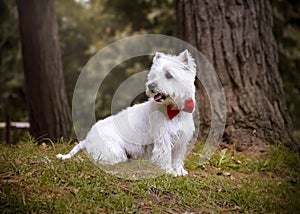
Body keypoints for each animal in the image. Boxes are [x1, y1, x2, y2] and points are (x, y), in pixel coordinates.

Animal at [56, 49, 197, 176]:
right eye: (154, 75)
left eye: (169, 75)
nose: (150, 86)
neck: (173, 109)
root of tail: (87, 139)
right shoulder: (163, 136)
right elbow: (165, 154)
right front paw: (168, 172)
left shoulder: (181, 138)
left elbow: (178, 157)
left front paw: (180, 171)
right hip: (113, 150)